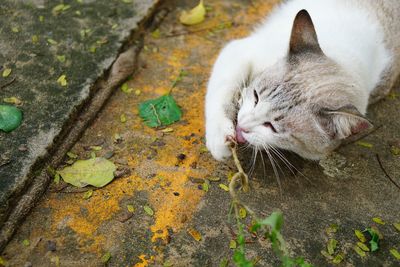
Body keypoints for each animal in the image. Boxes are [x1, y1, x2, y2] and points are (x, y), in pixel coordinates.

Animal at [206, 0, 400, 161]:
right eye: (256, 97)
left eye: (272, 126)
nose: (241, 126)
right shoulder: (240, 50)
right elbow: (219, 96)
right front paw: (219, 139)